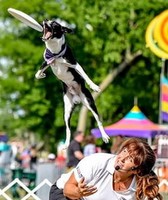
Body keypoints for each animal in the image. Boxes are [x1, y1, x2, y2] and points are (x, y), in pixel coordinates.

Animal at [35, 19, 109, 148]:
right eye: (48, 20)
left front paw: (94, 86)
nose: (44, 20)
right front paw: (42, 75)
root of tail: (76, 97)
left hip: (90, 103)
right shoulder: (47, 62)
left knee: (98, 120)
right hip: (66, 112)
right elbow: (37, 73)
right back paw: (66, 144)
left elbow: (85, 76)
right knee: (68, 129)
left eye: (54, 24)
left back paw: (104, 136)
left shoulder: (75, 64)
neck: (55, 51)